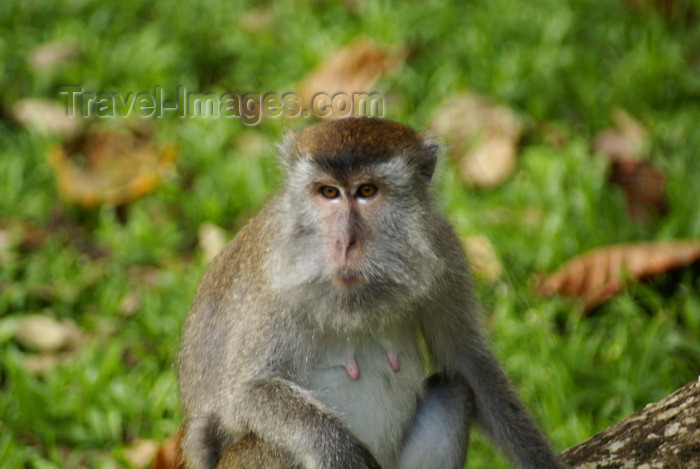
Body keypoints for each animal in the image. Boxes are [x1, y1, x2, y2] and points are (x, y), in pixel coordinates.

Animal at [178, 117, 568, 468]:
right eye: (328, 192)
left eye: (367, 191)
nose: (345, 242)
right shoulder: (273, 281)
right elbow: (244, 393)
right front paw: (336, 447)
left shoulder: (445, 251)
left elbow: (469, 363)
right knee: (275, 446)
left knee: (453, 392)